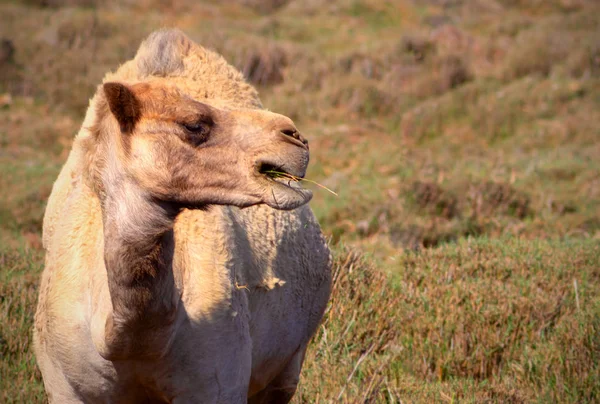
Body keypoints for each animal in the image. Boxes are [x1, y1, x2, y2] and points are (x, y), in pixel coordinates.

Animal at [34, 29, 332, 404]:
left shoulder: (217, 385)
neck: (131, 345)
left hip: (288, 366)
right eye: (194, 125)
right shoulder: (64, 385)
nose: (293, 136)